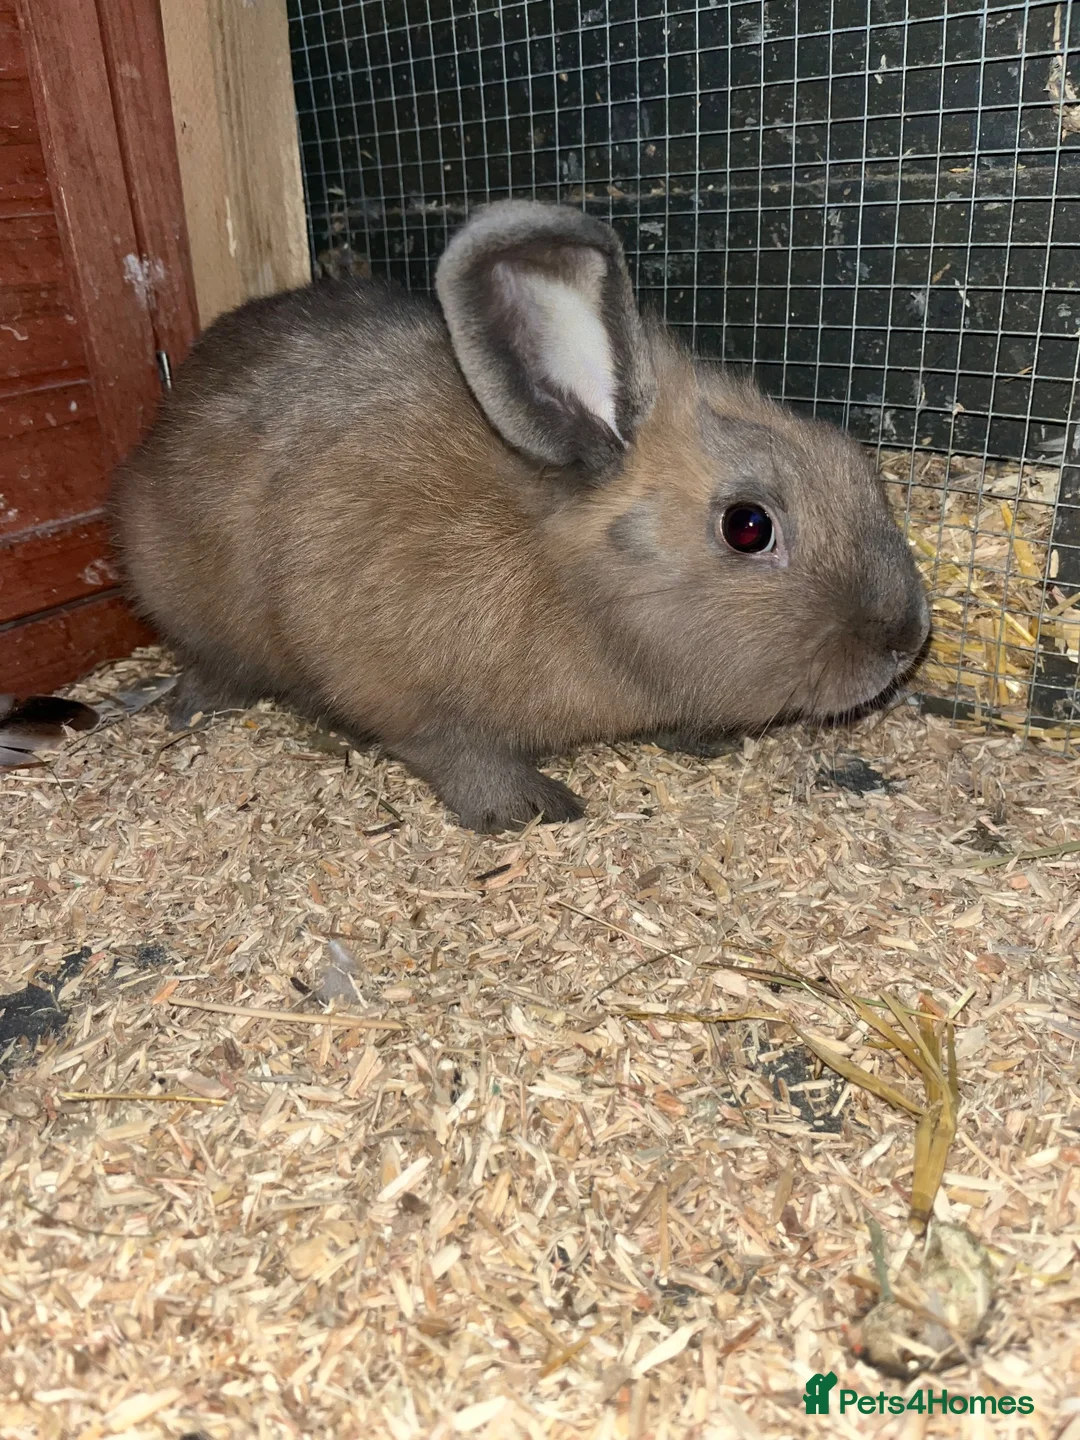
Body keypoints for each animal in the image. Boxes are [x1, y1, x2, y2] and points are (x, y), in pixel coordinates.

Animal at [110, 201, 930, 832]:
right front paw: (529, 808)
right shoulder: (398, 686)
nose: (905, 638)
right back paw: (193, 706)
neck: (568, 583)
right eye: (748, 526)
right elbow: (453, 749)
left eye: (853, 456)